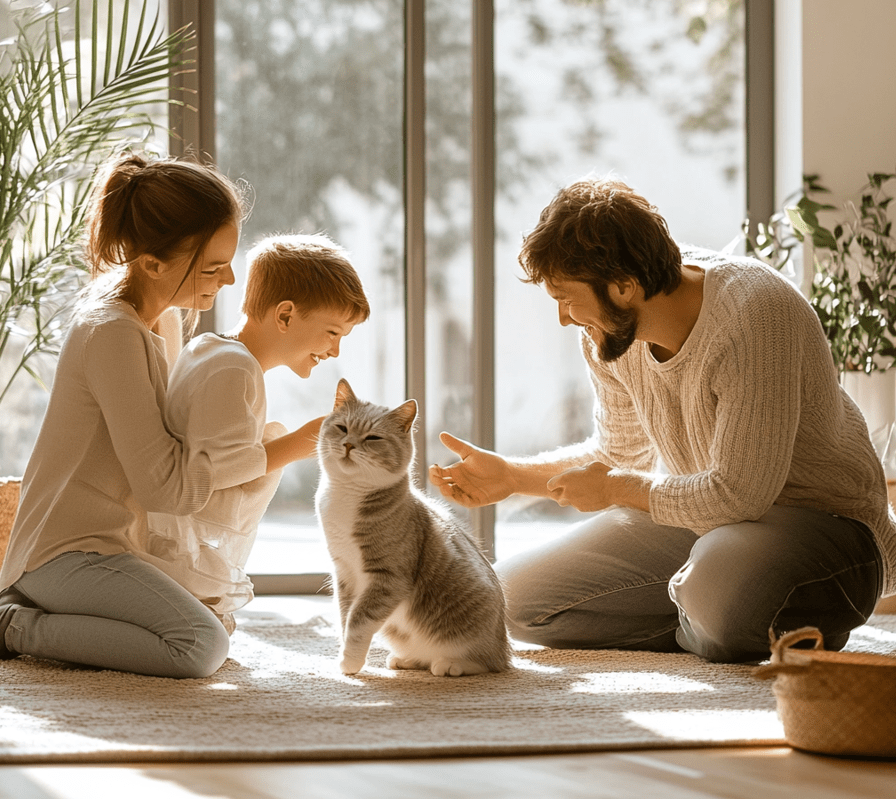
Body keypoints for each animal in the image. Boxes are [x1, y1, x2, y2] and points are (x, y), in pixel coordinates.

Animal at [316, 380, 512, 676]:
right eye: (342, 428)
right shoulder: (344, 573)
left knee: (486, 663)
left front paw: (349, 663)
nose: (348, 444)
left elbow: (358, 620)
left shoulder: (389, 577)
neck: (347, 495)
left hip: (475, 635)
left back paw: (452, 664)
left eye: (373, 438)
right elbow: (344, 617)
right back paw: (408, 659)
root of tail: (505, 649)